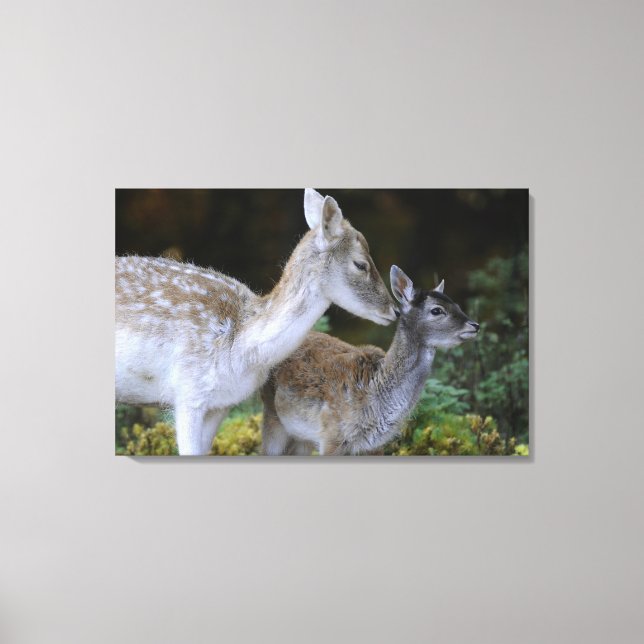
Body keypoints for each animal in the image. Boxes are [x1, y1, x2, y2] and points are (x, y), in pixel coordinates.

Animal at [261, 266, 480, 455]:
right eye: (437, 310)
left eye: (457, 304)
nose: (475, 325)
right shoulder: (331, 436)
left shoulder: (374, 445)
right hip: (273, 416)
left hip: (302, 437)